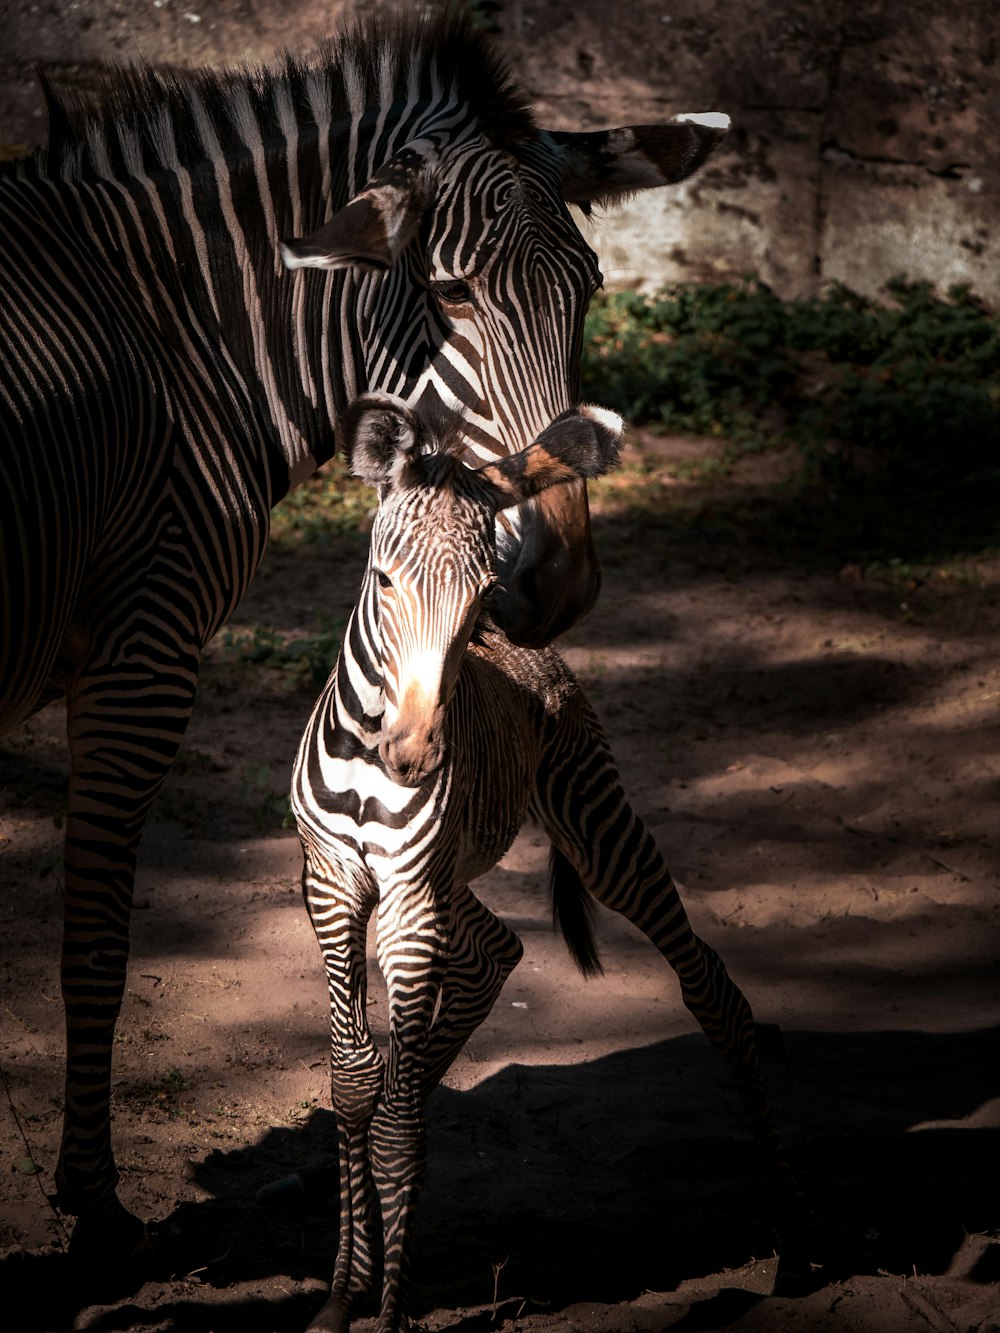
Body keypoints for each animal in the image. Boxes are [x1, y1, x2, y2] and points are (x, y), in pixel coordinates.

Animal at [292, 391, 805, 1333]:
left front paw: (388, 1308)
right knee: (498, 952)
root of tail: (525, 642)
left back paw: (792, 1240)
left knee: (715, 991)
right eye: (383, 582)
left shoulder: (410, 900)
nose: (416, 755)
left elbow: (396, 1123)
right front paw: (343, 1292)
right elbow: (354, 1083)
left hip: (588, 821)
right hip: (456, 878)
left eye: (476, 594)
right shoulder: (332, 883)